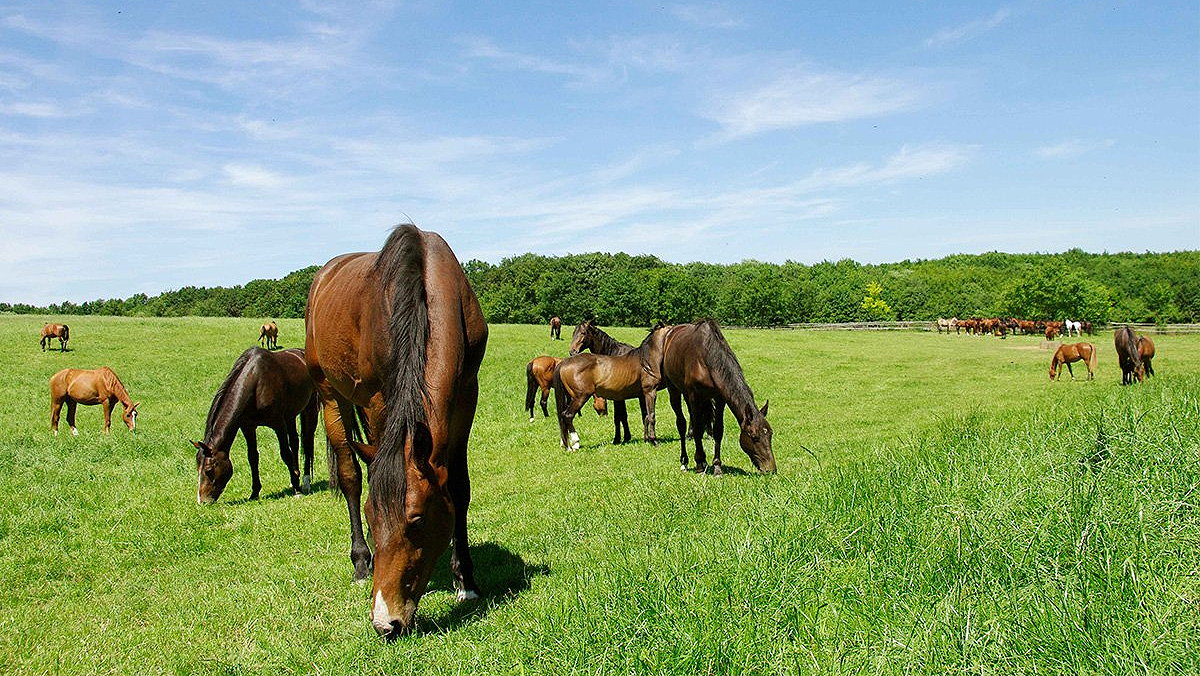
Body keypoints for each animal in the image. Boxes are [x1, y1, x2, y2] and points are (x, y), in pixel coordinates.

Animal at [190, 348, 316, 501]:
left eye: (208, 470)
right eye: (197, 467)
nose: (202, 500)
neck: (255, 382)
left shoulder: (278, 424)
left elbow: (285, 453)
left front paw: (297, 489)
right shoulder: (248, 427)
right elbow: (253, 457)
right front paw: (255, 493)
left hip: (309, 408)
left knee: (307, 442)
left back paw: (305, 481)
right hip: (290, 415)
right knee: (295, 442)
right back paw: (296, 475)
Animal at [304, 223, 487, 638]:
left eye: (416, 520)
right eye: (373, 520)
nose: (386, 622)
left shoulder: (467, 394)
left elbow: (459, 487)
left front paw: (466, 581)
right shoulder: (377, 399)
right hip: (330, 394)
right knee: (351, 475)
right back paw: (360, 562)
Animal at [657, 321, 777, 475]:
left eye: (770, 434)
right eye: (754, 436)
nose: (770, 469)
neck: (706, 358)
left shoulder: (720, 399)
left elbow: (718, 430)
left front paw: (717, 466)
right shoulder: (695, 396)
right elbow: (698, 429)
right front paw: (700, 464)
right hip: (675, 390)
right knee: (681, 423)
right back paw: (685, 461)